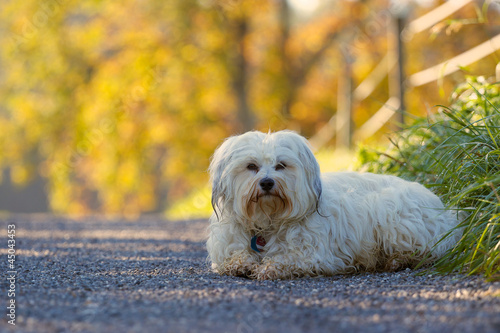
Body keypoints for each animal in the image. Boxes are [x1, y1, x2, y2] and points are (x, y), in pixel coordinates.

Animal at [205, 130, 458, 278]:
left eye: (281, 166)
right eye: (251, 166)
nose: (267, 182)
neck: (268, 220)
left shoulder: (316, 254)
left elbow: (288, 259)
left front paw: (270, 267)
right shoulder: (226, 247)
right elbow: (232, 258)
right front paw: (240, 264)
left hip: (389, 212)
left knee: (428, 251)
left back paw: (398, 260)